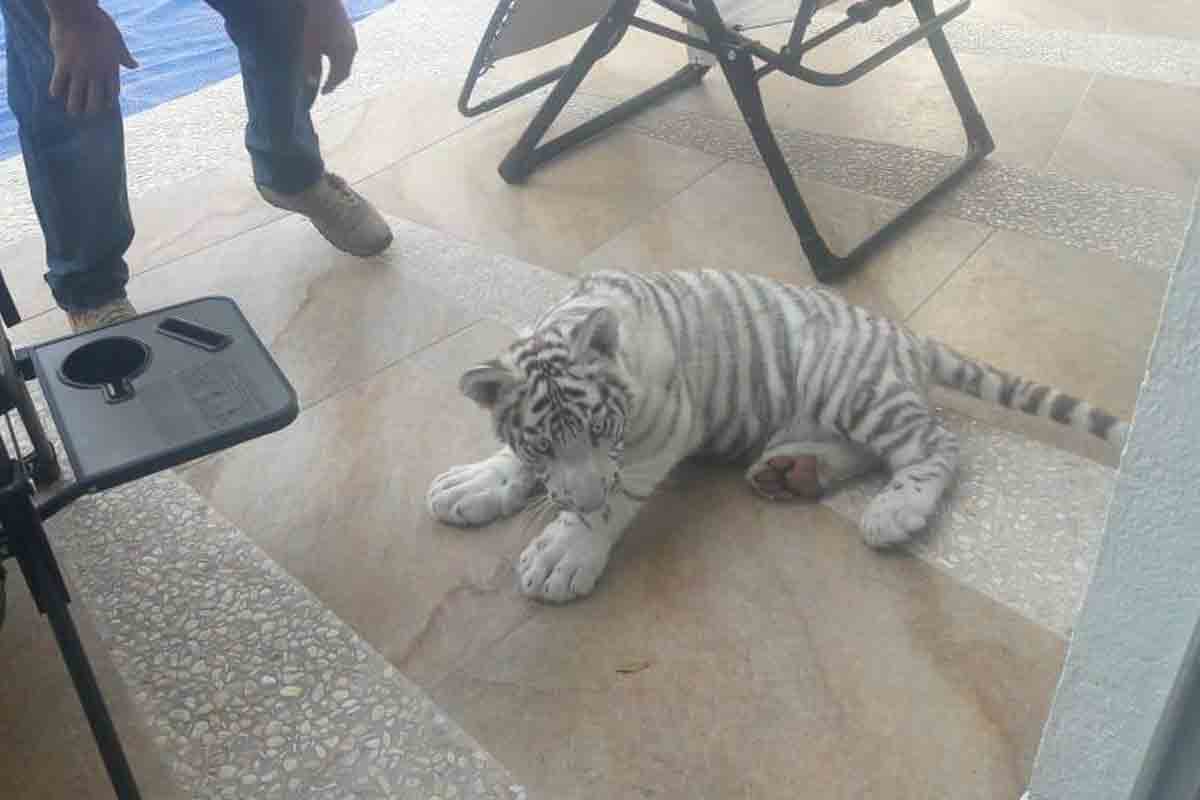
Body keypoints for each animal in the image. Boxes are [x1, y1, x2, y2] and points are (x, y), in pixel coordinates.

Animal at [427, 269, 1127, 604]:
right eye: (543, 444)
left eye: (604, 428)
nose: (581, 495)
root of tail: (904, 334)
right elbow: (519, 464)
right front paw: (480, 481)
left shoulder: (667, 426)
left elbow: (615, 496)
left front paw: (566, 551)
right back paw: (794, 473)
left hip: (848, 384)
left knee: (938, 444)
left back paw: (896, 510)